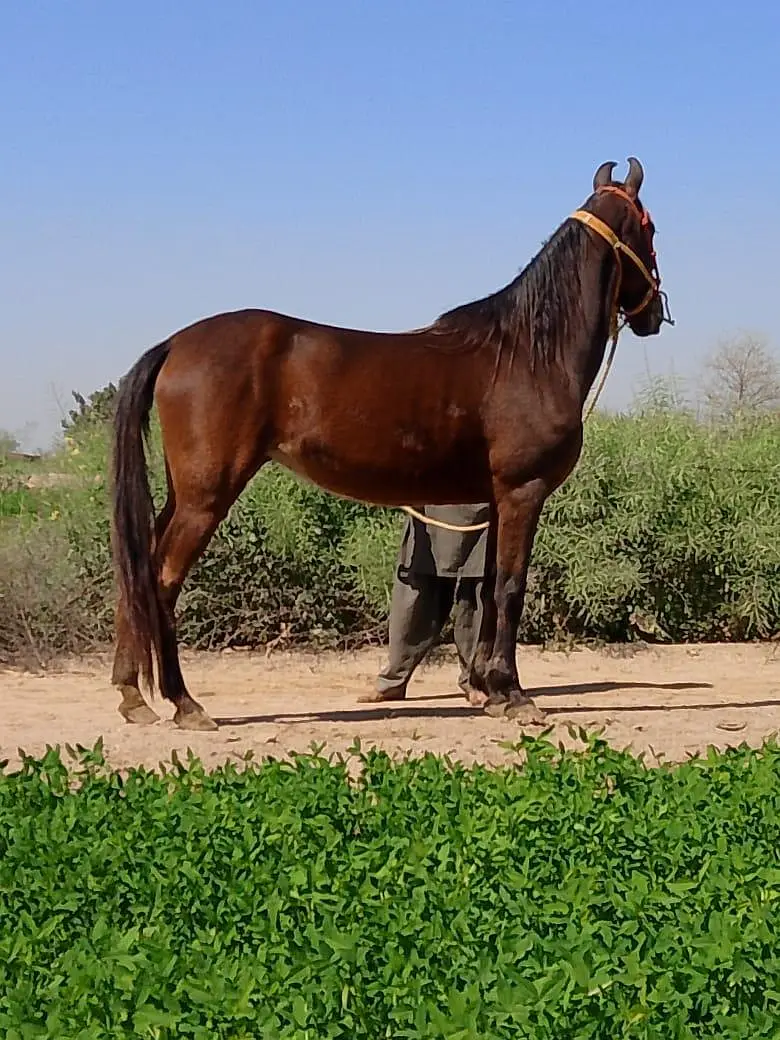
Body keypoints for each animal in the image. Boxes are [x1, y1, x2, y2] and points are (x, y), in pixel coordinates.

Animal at [110, 157, 669, 731]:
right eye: (650, 230)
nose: (653, 314)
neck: (528, 353)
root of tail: (176, 343)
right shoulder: (522, 493)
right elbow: (510, 588)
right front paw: (515, 696)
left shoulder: (496, 500)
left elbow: (488, 588)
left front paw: (489, 691)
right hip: (205, 498)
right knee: (161, 580)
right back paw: (184, 703)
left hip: (183, 495)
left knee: (137, 574)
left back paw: (134, 696)